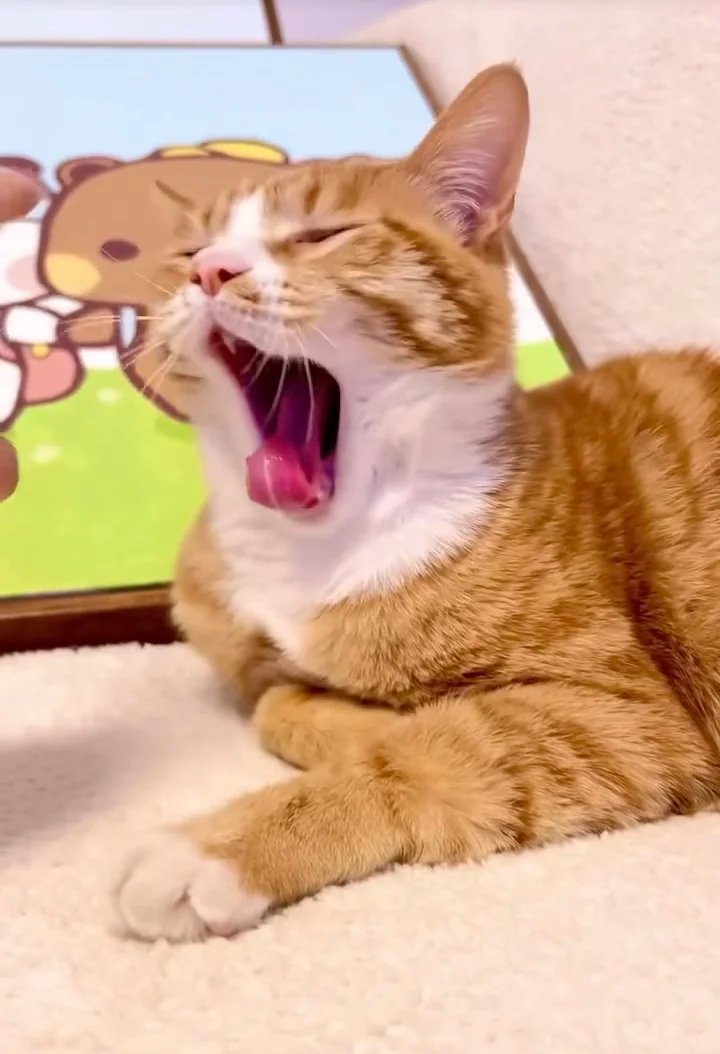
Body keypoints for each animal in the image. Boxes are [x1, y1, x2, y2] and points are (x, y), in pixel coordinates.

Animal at [114, 64, 720, 942]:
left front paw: (219, 847)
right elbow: (280, 703)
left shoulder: (624, 710)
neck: (313, 540)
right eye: (187, 251)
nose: (211, 272)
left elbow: (428, 747)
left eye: (321, 235)